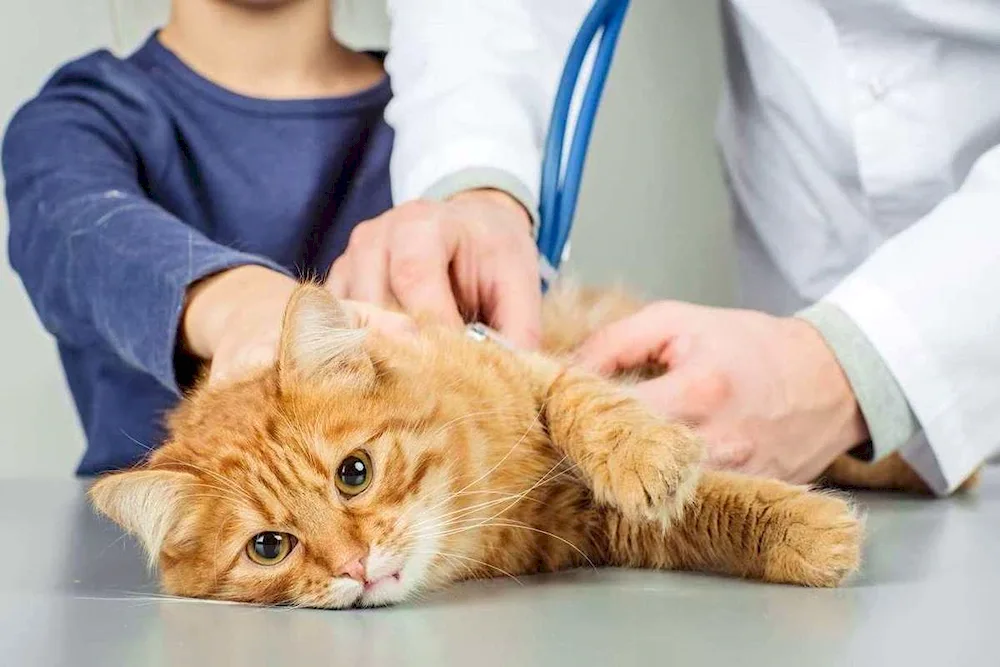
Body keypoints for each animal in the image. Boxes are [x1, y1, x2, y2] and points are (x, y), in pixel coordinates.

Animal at [92, 284, 868, 608]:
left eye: (354, 473)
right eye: (269, 547)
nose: (355, 566)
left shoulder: (526, 367)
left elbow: (589, 403)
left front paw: (648, 456)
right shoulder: (590, 527)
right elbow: (702, 515)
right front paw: (811, 533)